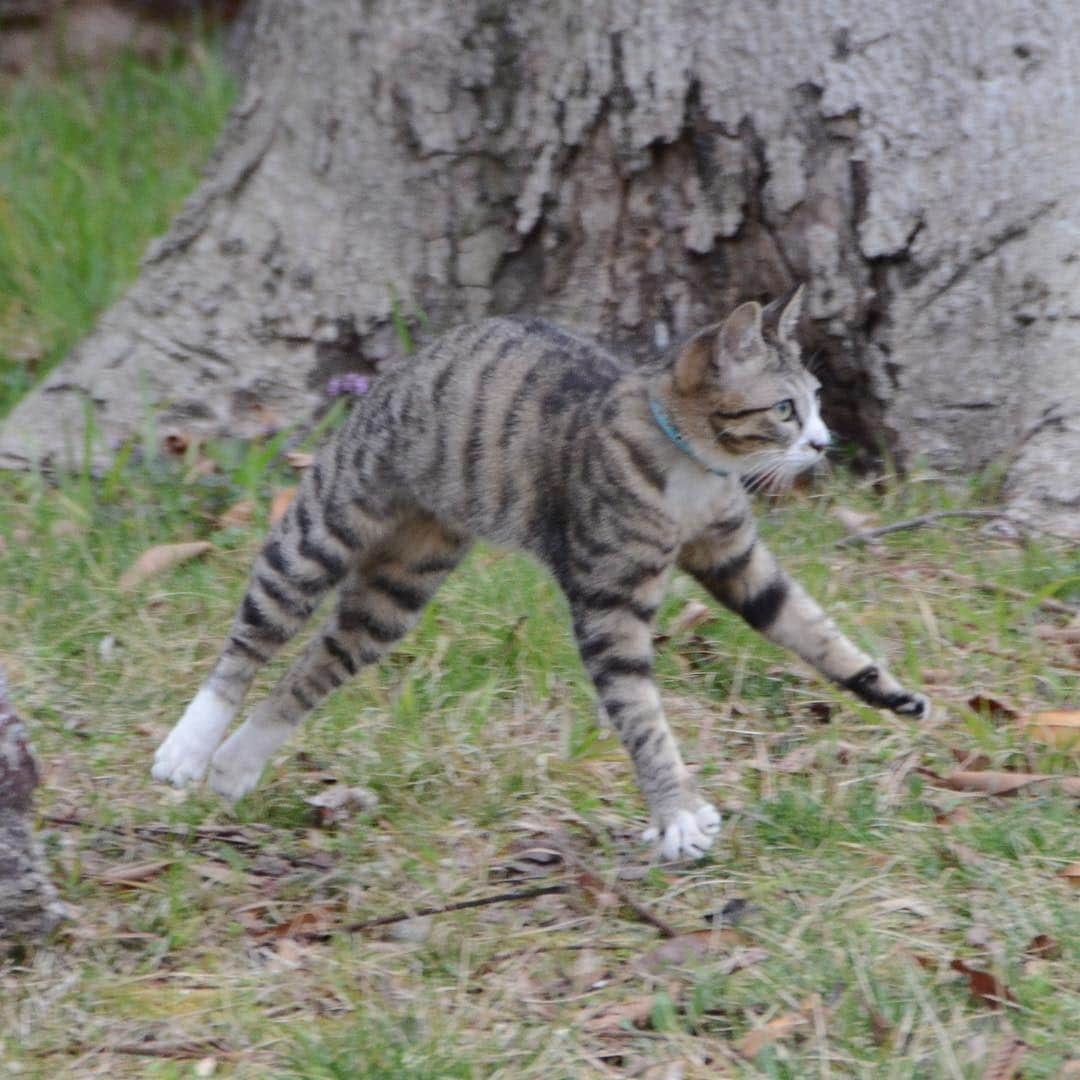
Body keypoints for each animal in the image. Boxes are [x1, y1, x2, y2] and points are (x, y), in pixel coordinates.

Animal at [152, 289, 928, 859]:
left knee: (316, 665)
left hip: (399, 585)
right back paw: (189, 748)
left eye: (818, 399)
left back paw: (237, 763)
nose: (824, 443)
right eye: (786, 409)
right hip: (327, 524)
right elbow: (641, 715)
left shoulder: (735, 556)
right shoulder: (609, 600)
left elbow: (807, 625)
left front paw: (887, 691)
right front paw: (675, 813)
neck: (692, 470)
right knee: (252, 638)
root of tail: (419, 355)